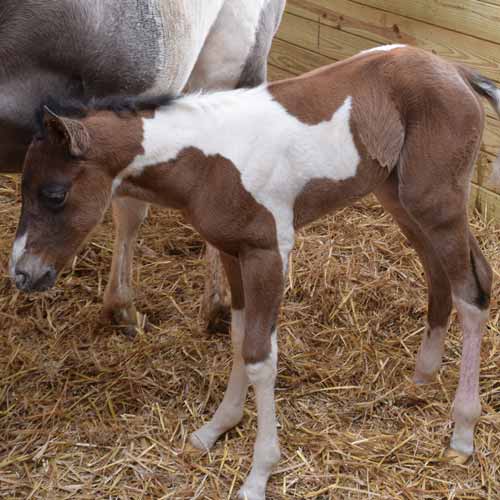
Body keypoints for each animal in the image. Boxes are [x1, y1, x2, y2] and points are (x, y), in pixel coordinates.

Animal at [9, 45, 498, 498]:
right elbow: (239, 338)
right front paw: (215, 428)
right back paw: (423, 376)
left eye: (54, 194)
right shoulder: (233, 251)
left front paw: (259, 473)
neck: (206, 161)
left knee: (471, 291)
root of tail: (457, 71)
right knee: (442, 270)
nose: (22, 273)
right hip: (398, 195)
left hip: (436, 200)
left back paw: (462, 433)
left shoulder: (268, 252)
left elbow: (261, 357)